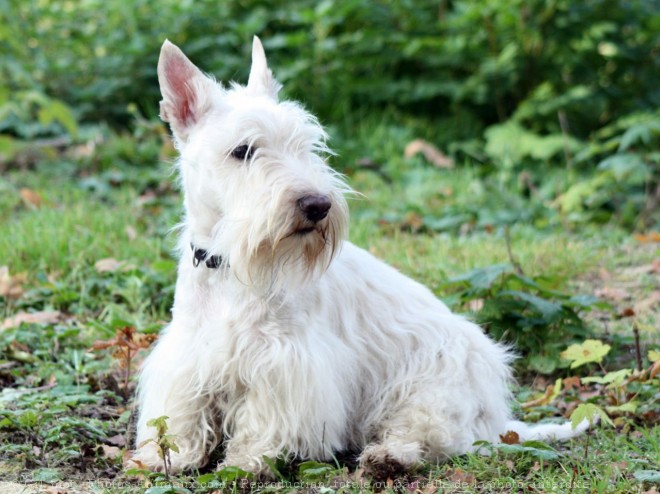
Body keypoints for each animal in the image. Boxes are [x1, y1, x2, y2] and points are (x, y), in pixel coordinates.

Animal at [133, 36, 584, 476]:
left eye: (306, 145)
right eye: (242, 150)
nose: (317, 205)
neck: (229, 266)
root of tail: (499, 421)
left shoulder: (288, 364)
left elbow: (264, 420)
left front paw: (248, 461)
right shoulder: (190, 355)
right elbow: (182, 413)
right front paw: (169, 455)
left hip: (431, 388)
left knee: (431, 436)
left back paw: (388, 457)